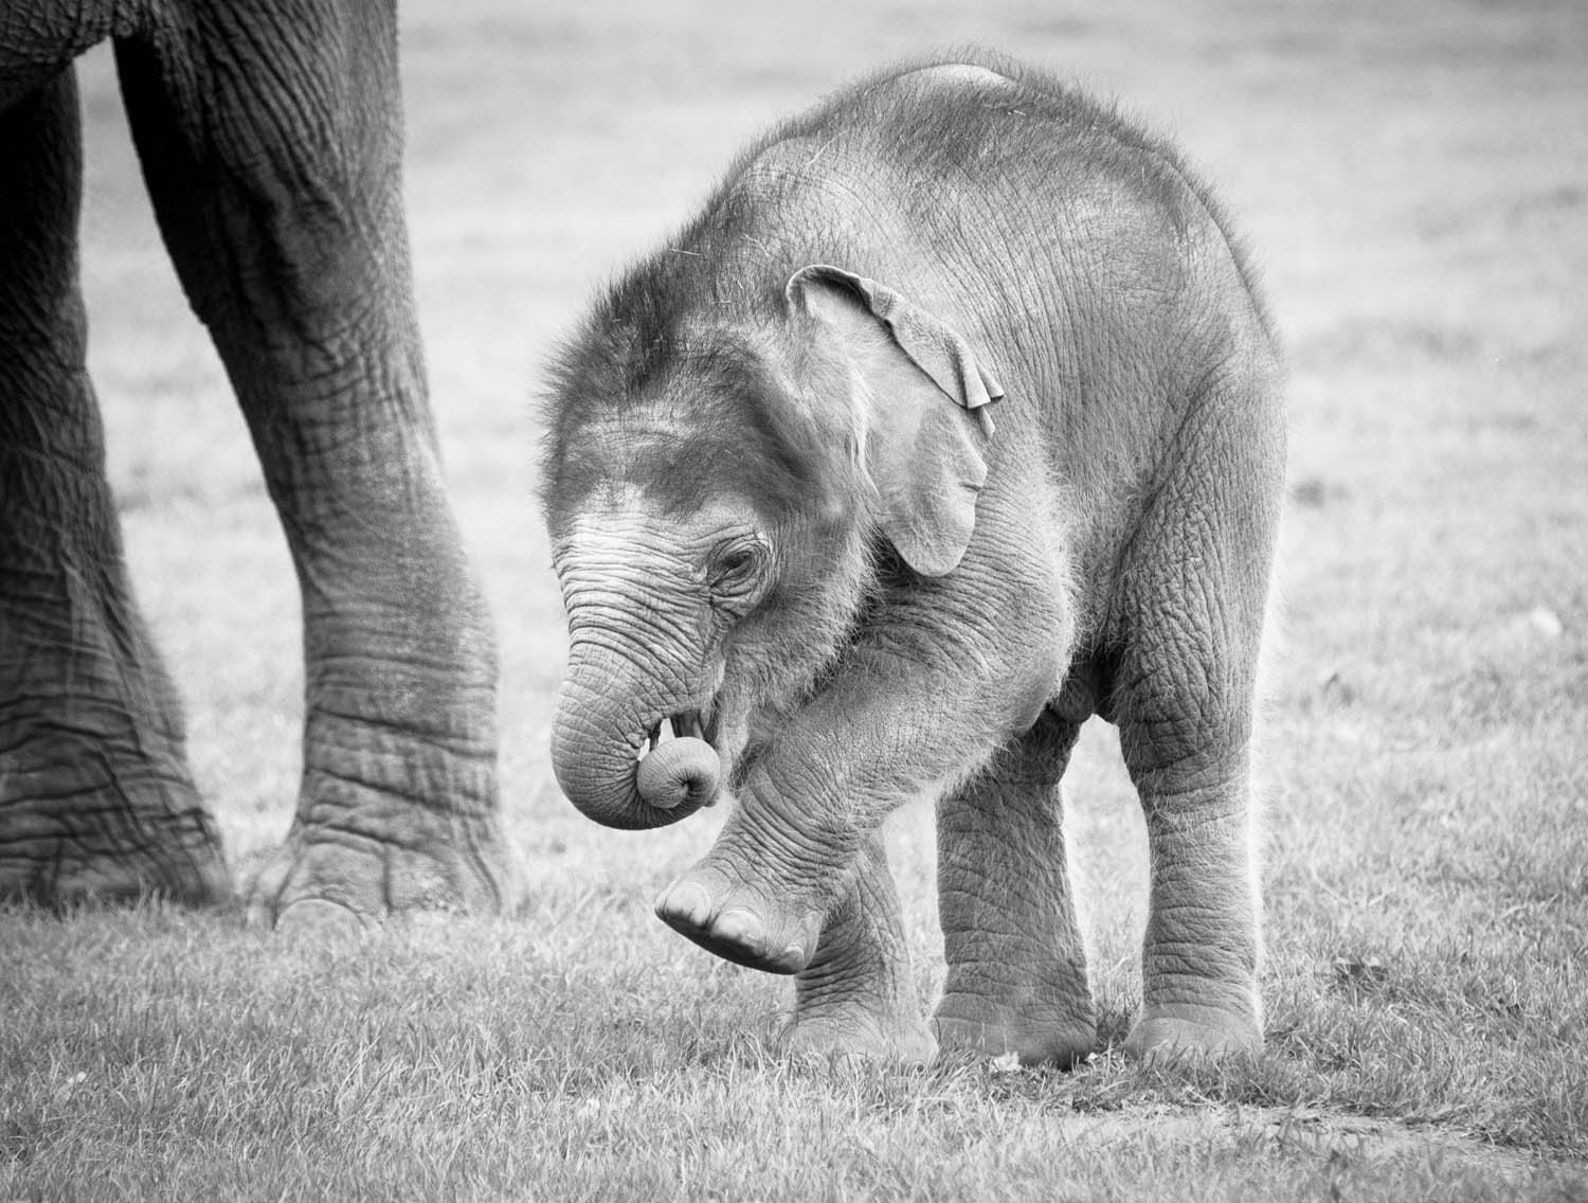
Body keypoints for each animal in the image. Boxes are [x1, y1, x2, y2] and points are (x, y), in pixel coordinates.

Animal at [539, 54, 1284, 1064]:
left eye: (735, 563)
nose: (680, 759)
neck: (764, 287)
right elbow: (799, 705)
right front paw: (839, 1052)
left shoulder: (988, 421)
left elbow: (1003, 632)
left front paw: (710, 925)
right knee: (1014, 747)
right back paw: (1008, 1048)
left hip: (1220, 412)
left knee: (1178, 709)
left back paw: (1192, 1051)